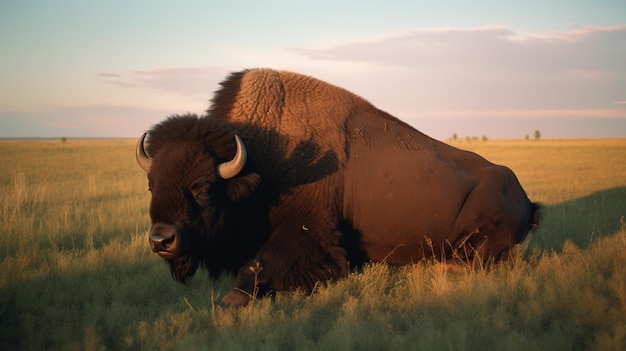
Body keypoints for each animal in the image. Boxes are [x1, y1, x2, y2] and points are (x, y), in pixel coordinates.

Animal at [135, 69, 536, 308]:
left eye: (203, 187)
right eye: (151, 184)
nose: (161, 240)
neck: (262, 156)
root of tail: (524, 196)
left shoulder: (309, 234)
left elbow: (258, 266)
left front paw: (231, 301)